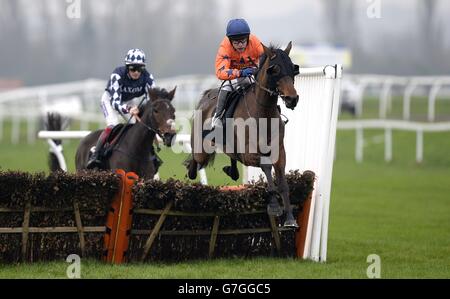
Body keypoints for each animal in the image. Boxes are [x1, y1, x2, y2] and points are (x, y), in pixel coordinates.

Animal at [185, 42, 300, 227]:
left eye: (293, 67)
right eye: (275, 70)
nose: (292, 99)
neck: (263, 114)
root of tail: (207, 95)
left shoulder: (279, 151)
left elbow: (282, 182)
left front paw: (290, 218)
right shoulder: (248, 153)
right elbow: (266, 166)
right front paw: (274, 205)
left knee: (230, 159)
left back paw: (231, 170)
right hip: (202, 149)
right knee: (196, 161)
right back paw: (192, 170)